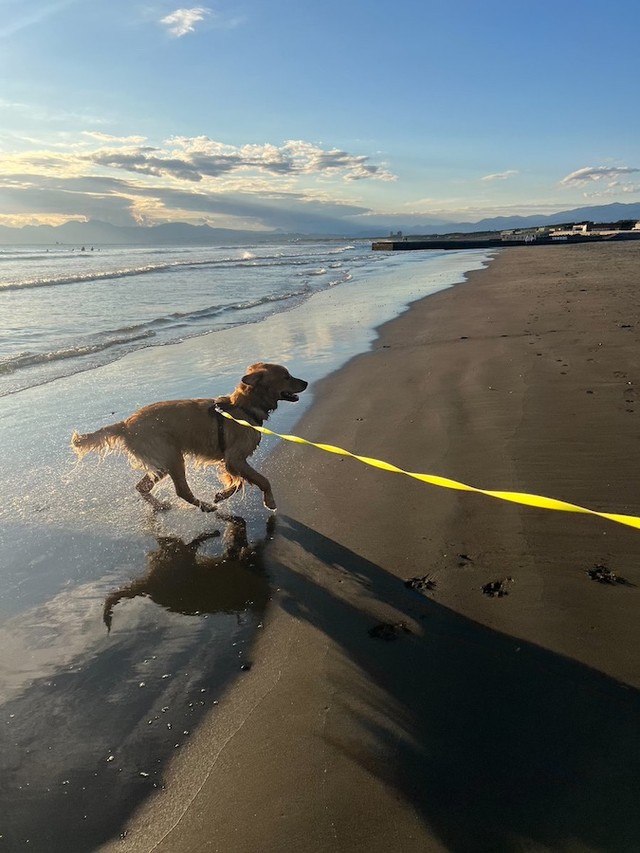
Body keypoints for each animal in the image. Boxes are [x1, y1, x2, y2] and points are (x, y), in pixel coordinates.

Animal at [72, 362, 308, 510]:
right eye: (286, 376)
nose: (305, 382)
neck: (243, 408)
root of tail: (126, 425)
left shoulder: (230, 461)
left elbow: (238, 481)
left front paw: (223, 494)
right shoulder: (234, 458)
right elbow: (261, 479)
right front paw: (270, 501)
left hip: (161, 463)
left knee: (142, 486)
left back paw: (161, 506)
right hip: (172, 456)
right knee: (181, 491)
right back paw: (206, 507)